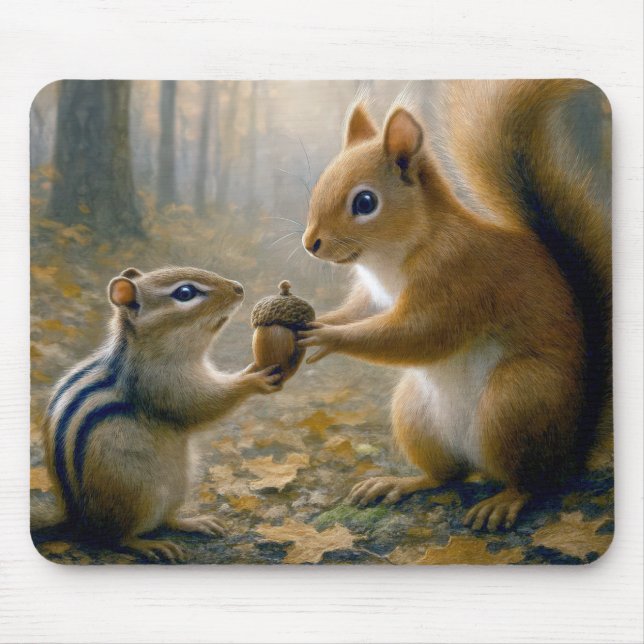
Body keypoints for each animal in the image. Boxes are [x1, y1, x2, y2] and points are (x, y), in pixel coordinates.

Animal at [38, 266, 283, 561]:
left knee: (166, 520)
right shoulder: (162, 383)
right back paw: (148, 545)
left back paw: (194, 522)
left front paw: (252, 368)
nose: (239, 288)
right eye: (185, 293)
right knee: (115, 537)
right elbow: (202, 405)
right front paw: (254, 380)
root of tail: (75, 519)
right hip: (137, 493)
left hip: (178, 484)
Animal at [298, 80, 611, 531]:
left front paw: (330, 337)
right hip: (415, 414)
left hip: (517, 401)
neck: (394, 254)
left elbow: (419, 334)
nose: (311, 244)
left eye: (365, 203)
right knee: (448, 475)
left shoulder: (458, 279)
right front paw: (324, 319)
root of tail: (571, 452)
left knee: (532, 481)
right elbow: (359, 311)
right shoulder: (375, 293)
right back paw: (401, 483)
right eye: (320, 183)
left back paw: (506, 500)